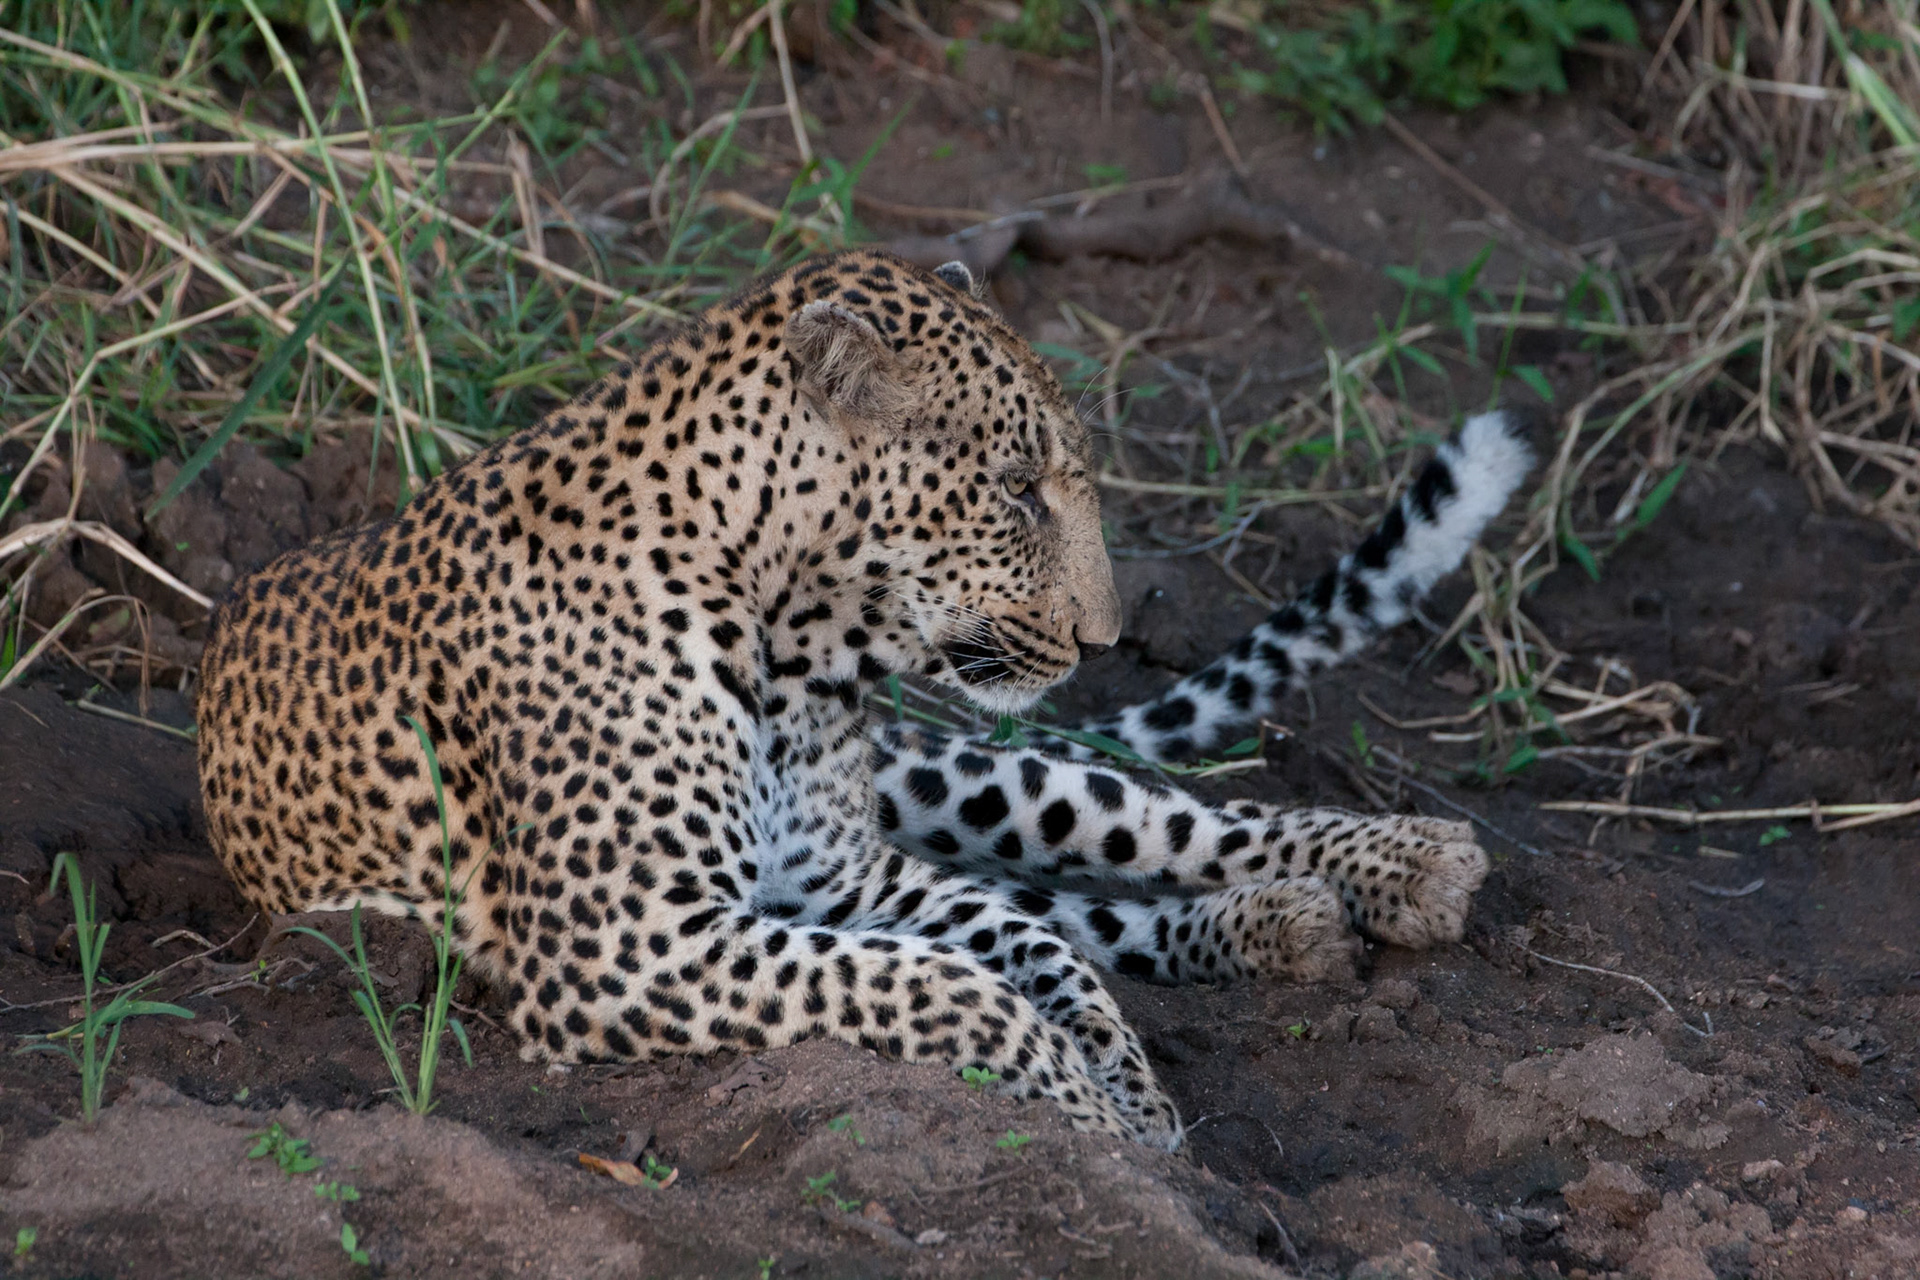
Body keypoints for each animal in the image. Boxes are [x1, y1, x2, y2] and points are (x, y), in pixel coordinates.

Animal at [197, 248, 1532, 1149]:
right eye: (1017, 488)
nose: (1104, 635)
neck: (791, 643)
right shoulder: (628, 944)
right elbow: (938, 974)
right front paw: (1088, 1106)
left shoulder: (845, 876)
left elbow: (1018, 940)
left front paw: (1125, 1084)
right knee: (1077, 896)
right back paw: (1287, 921)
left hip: (957, 775)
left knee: (1147, 831)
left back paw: (1395, 868)